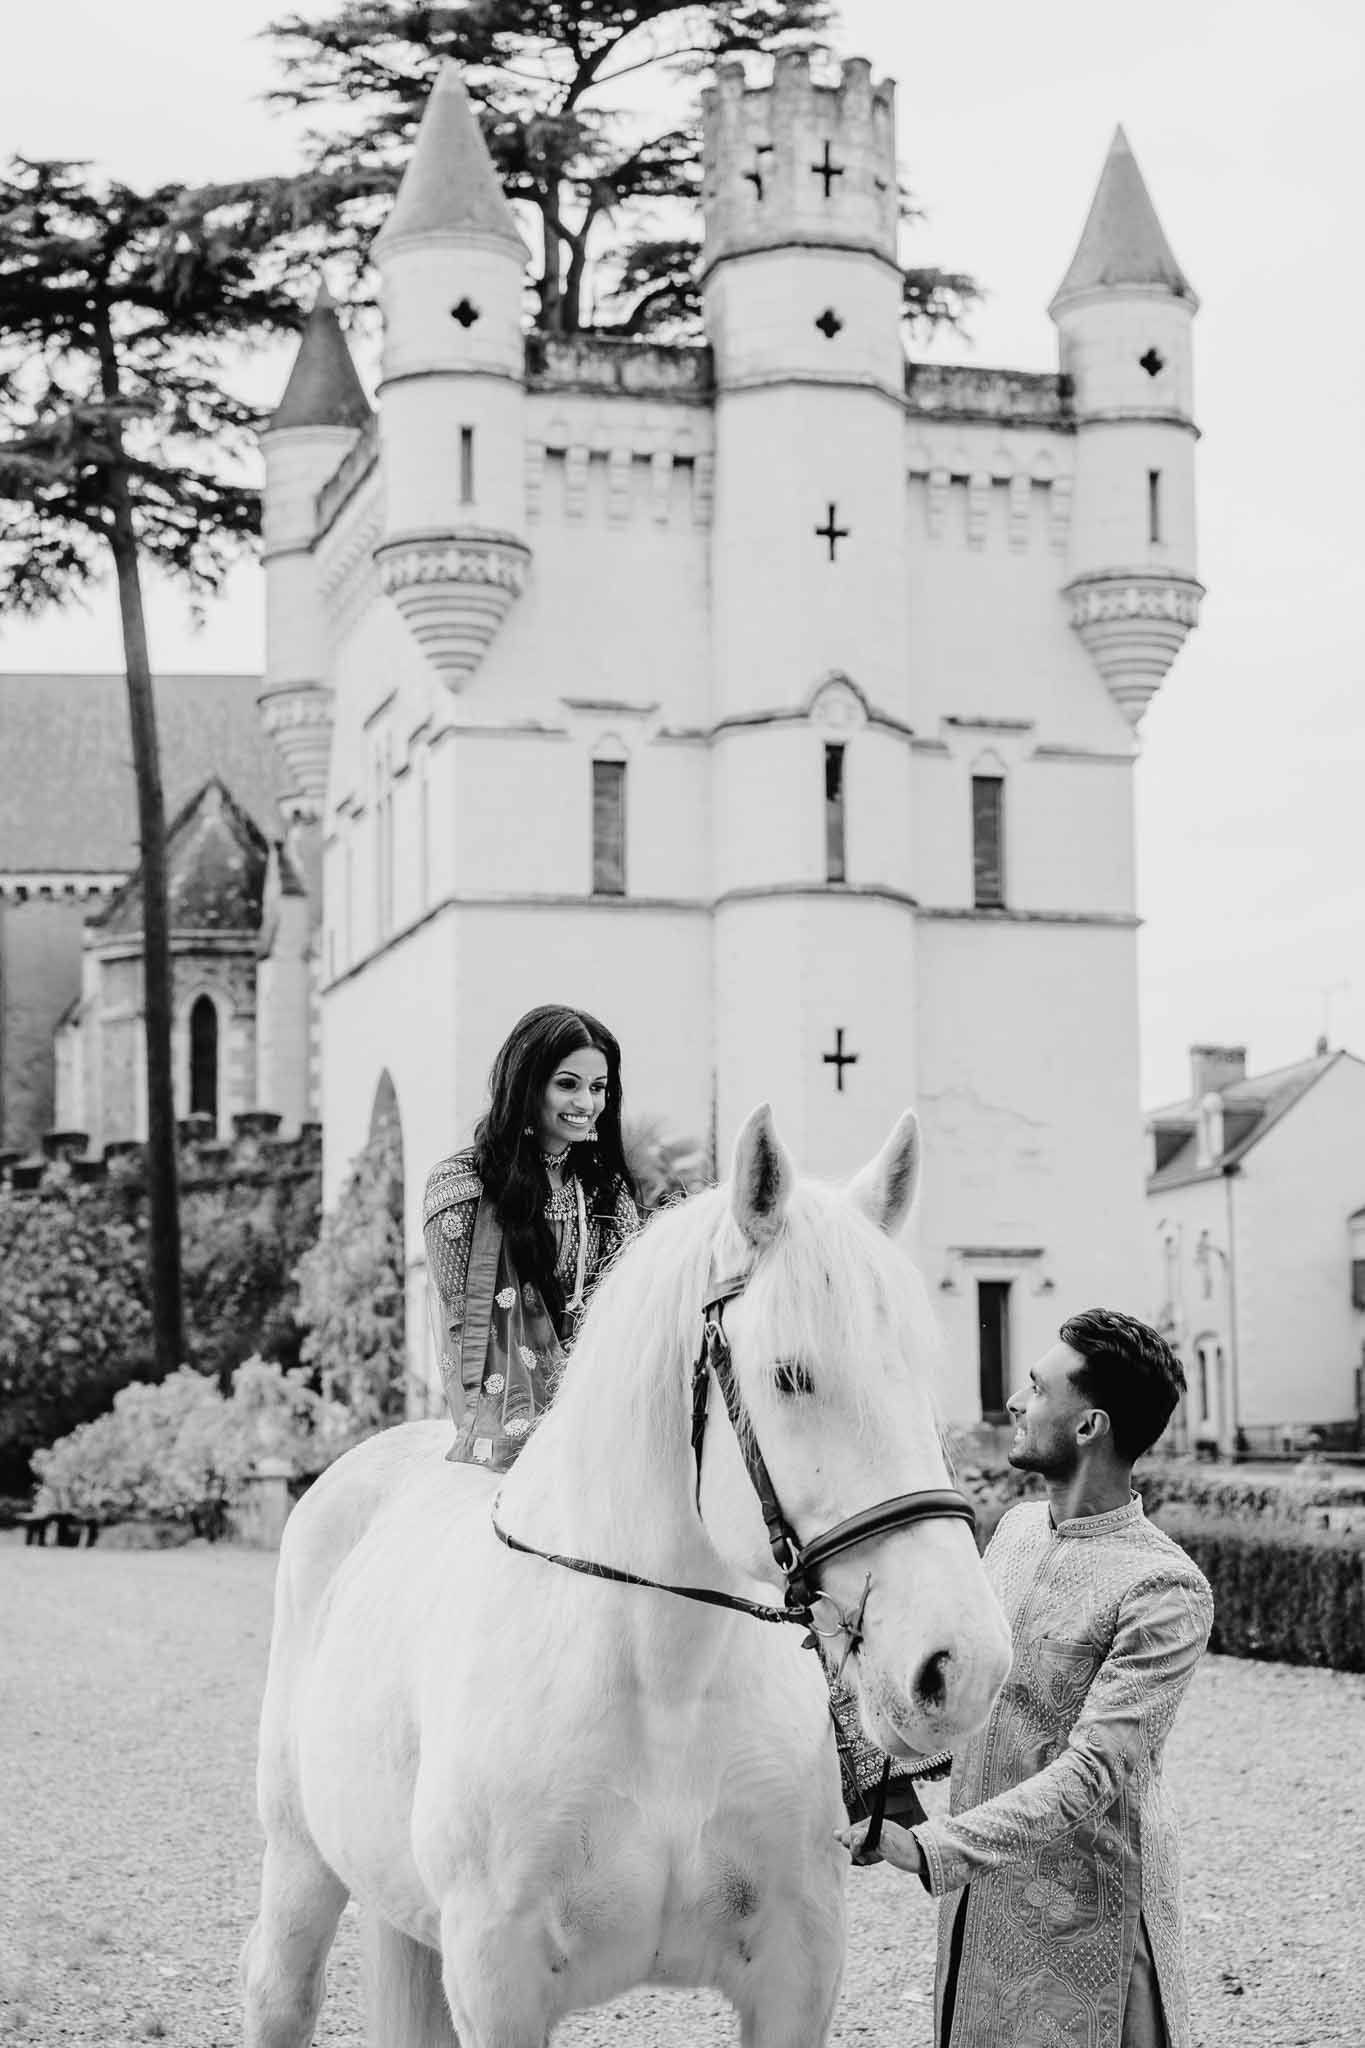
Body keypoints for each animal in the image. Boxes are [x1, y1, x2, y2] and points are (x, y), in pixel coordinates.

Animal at [242, 1104, 1012, 2048]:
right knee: (280, 1989)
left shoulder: (797, 1974)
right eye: (791, 1375)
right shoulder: (497, 1982)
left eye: (928, 1371)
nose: (962, 1665)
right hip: (299, 1858)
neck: (661, 1686)